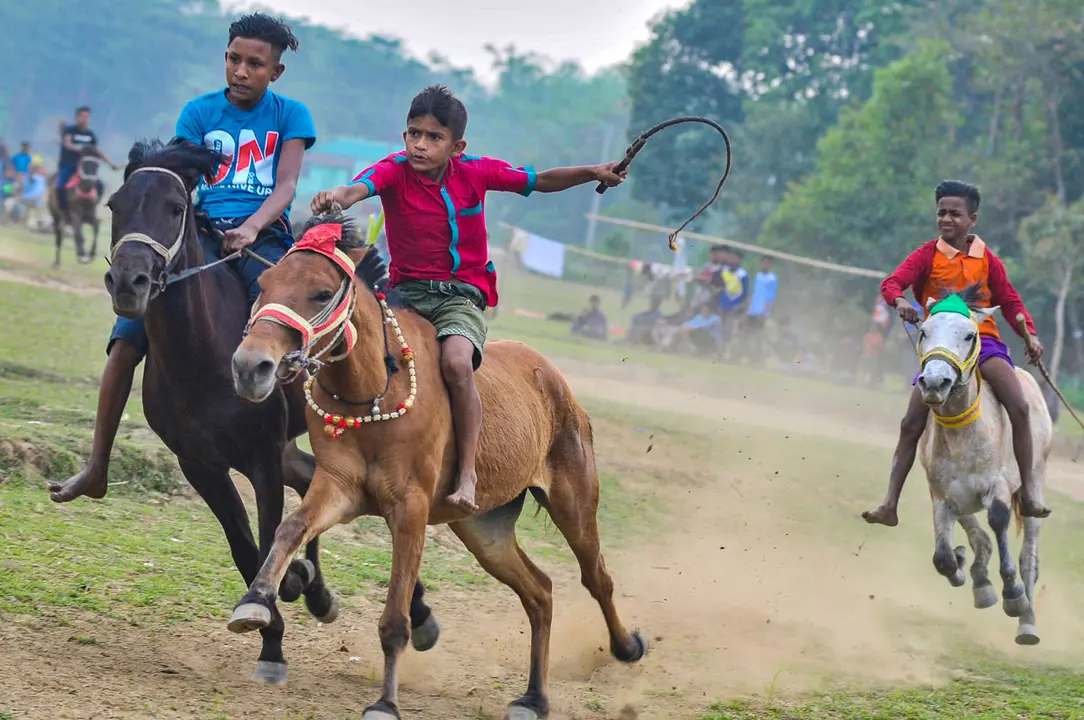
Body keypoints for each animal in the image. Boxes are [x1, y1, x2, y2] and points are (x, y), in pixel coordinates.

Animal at [91, 138, 440, 685]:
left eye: (174, 209)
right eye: (115, 205)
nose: (130, 281)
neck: (201, 358)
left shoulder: (261, 459)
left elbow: (270, 532)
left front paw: (273, 640)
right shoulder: (201, 466)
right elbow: (245, 546)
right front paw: (281, 612)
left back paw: (403, 608)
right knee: (312, 481)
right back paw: (320, 587)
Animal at [227, 214, 648, 720]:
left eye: (321, 292)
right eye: (265, 283)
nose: (250, 366)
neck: (375, 387)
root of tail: (553, 380)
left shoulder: (409, 508)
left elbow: (396, 618)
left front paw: (385, 703)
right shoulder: (340, 487)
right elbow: (290, 528)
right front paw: (254, 601)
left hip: (574, 502)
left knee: (596, 577)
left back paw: (625, 648)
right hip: (485, 529)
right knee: (540, 591)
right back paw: (534, 697)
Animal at [914, 287, 1052, 645]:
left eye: (969, 335)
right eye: (924, 331)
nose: (934, 382)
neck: (962, 435)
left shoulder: (997, 486)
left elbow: (998, 520)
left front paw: (1013, 594)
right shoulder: (943, 497)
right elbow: (943, 558)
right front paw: (965, 566)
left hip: (1034, 485)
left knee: (1029, 556)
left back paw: (1028, 623)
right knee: (979, 538)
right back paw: (980, 580)